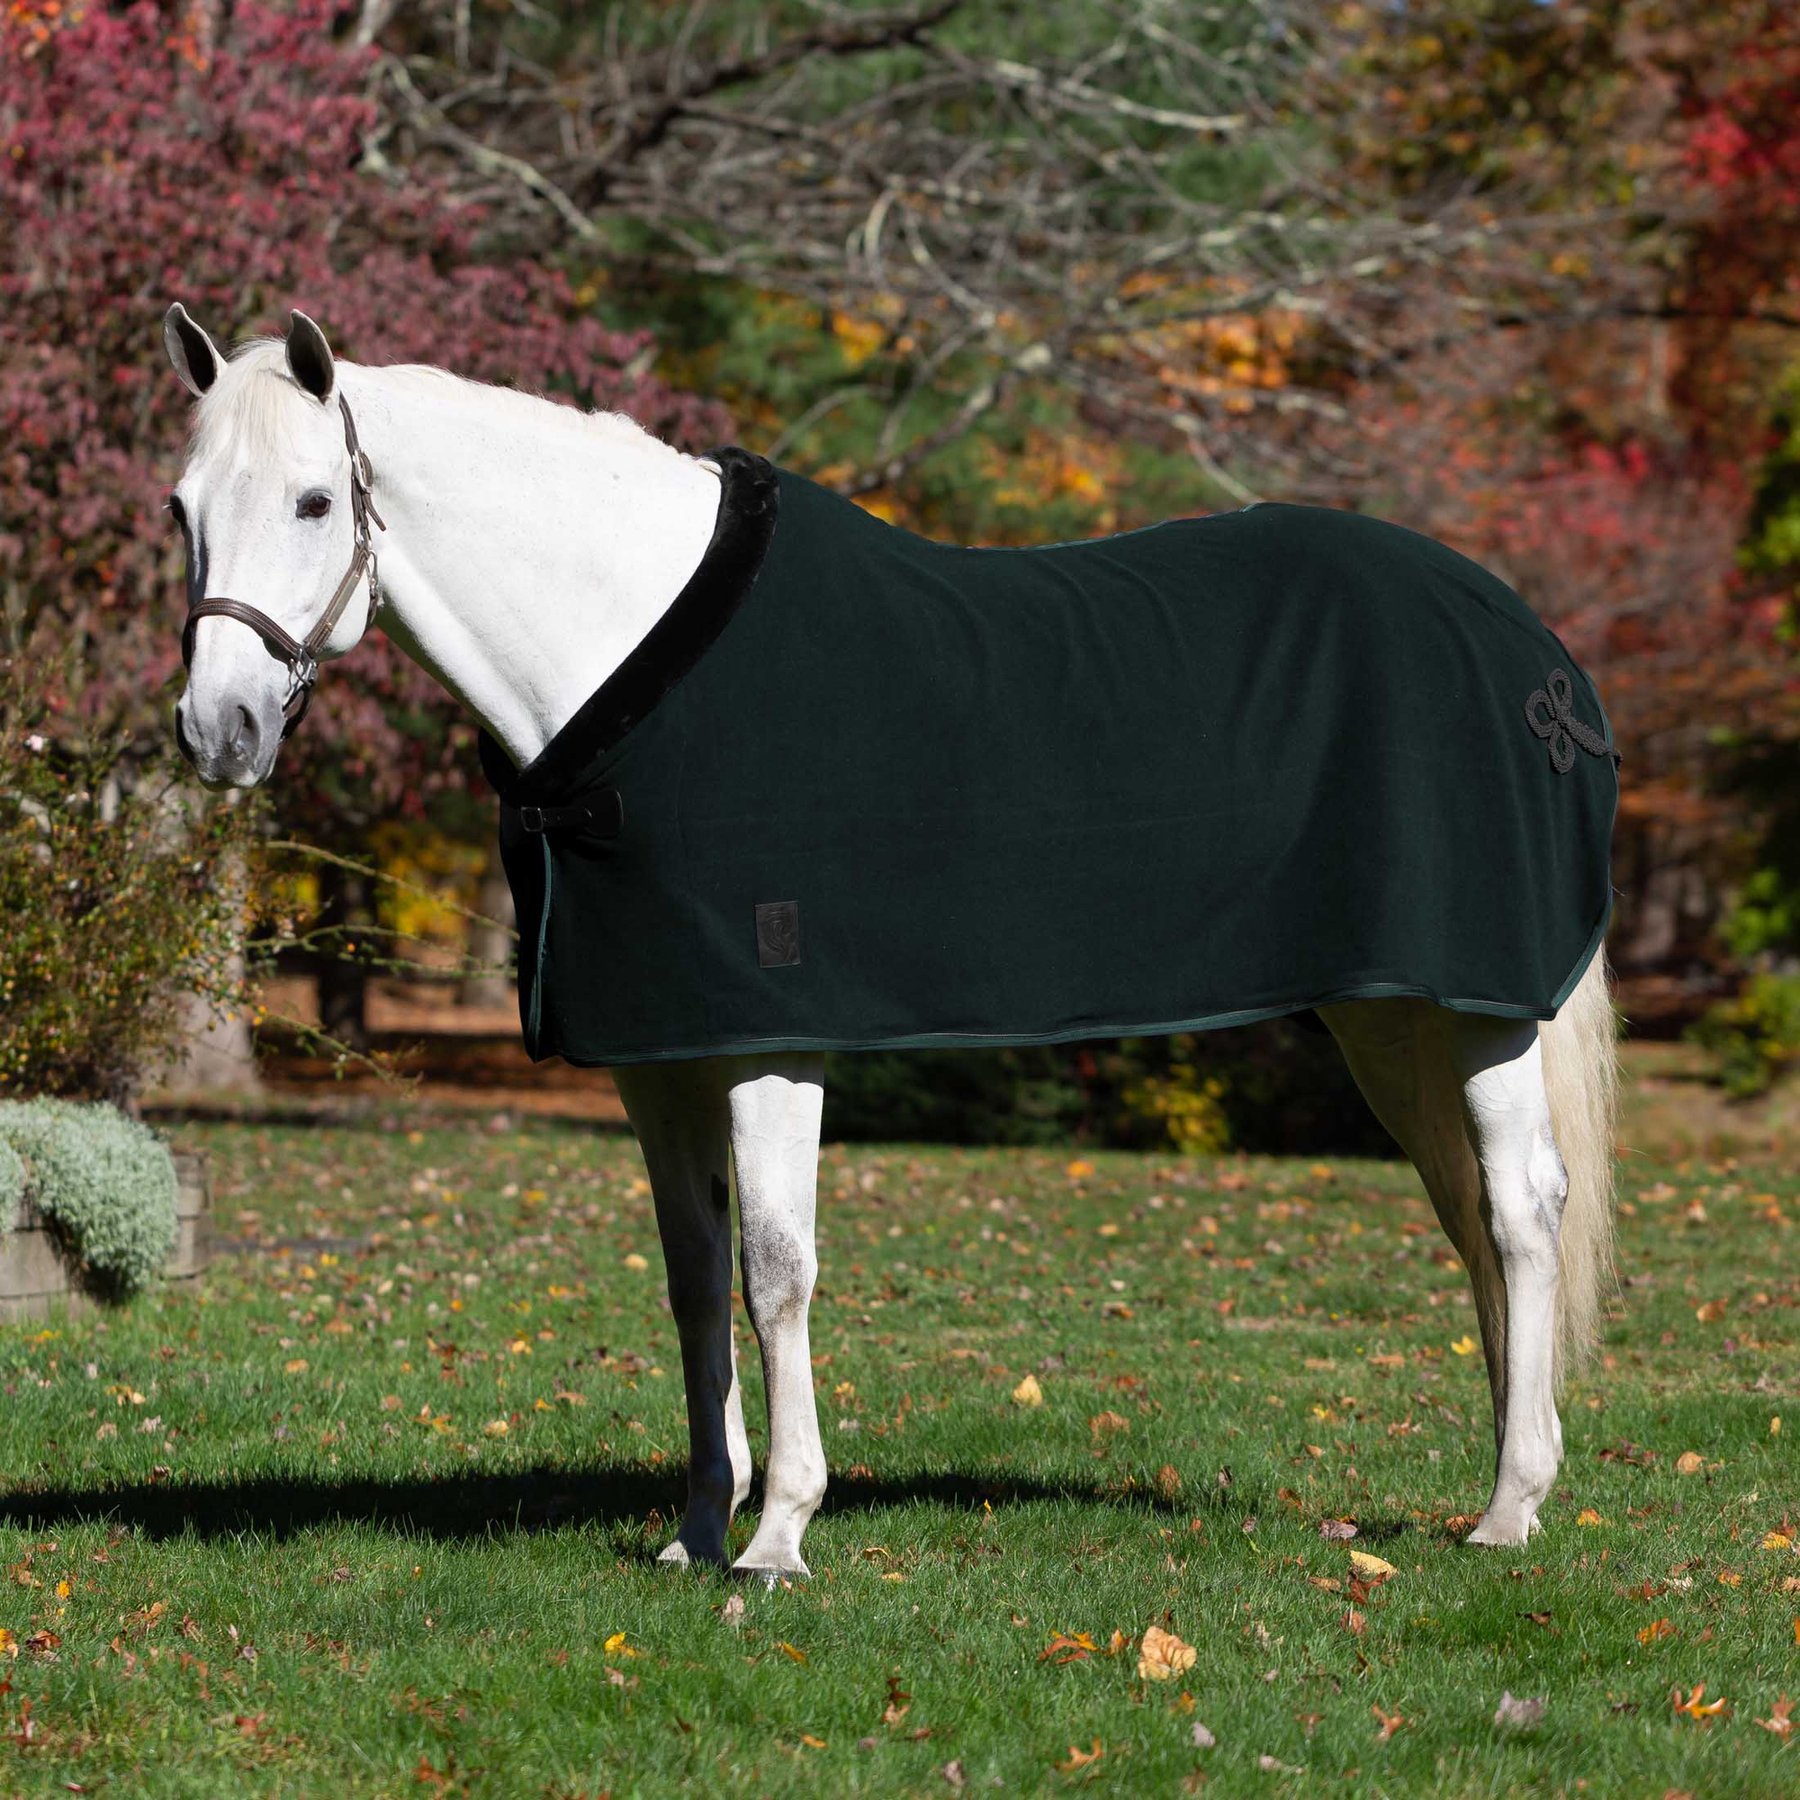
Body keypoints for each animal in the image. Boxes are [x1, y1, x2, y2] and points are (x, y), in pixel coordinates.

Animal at [162, 305, 1618, 1579]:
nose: (216, 730)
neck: (628, 666)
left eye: (313, 502)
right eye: (182, 511)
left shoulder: (772, 1041)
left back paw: (1509, 1510)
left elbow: (775, 1274)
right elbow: (694, 1280)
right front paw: (696, 1528)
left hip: (1480, 1008)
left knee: (1520, 1210)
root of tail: (1532, 649)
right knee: (1470, 1215)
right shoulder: (659, 1056)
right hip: (1394, 1010)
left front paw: (780, 1536)